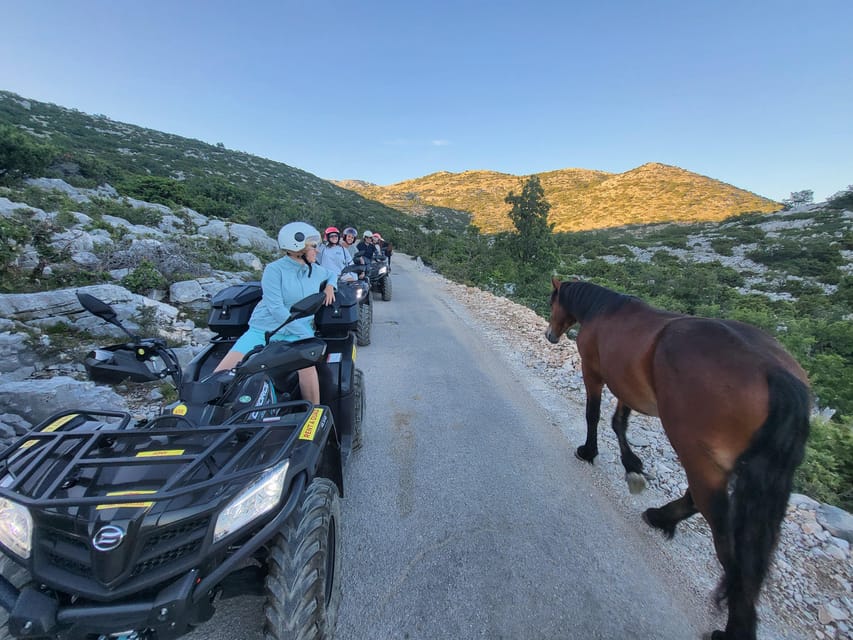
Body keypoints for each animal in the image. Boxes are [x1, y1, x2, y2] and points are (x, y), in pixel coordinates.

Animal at [544, 278, 812, 640]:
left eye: (553, 300)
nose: (550, 335)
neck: (603, 311)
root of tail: (775, 373)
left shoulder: (594, 372)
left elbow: (595, 414)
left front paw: (588, 451)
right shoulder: (627, 387)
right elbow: (619, 423)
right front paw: (633, 467)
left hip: (697, 453)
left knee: (725, 540)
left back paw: (733, 627)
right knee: (700, 505)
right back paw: (660, 517)